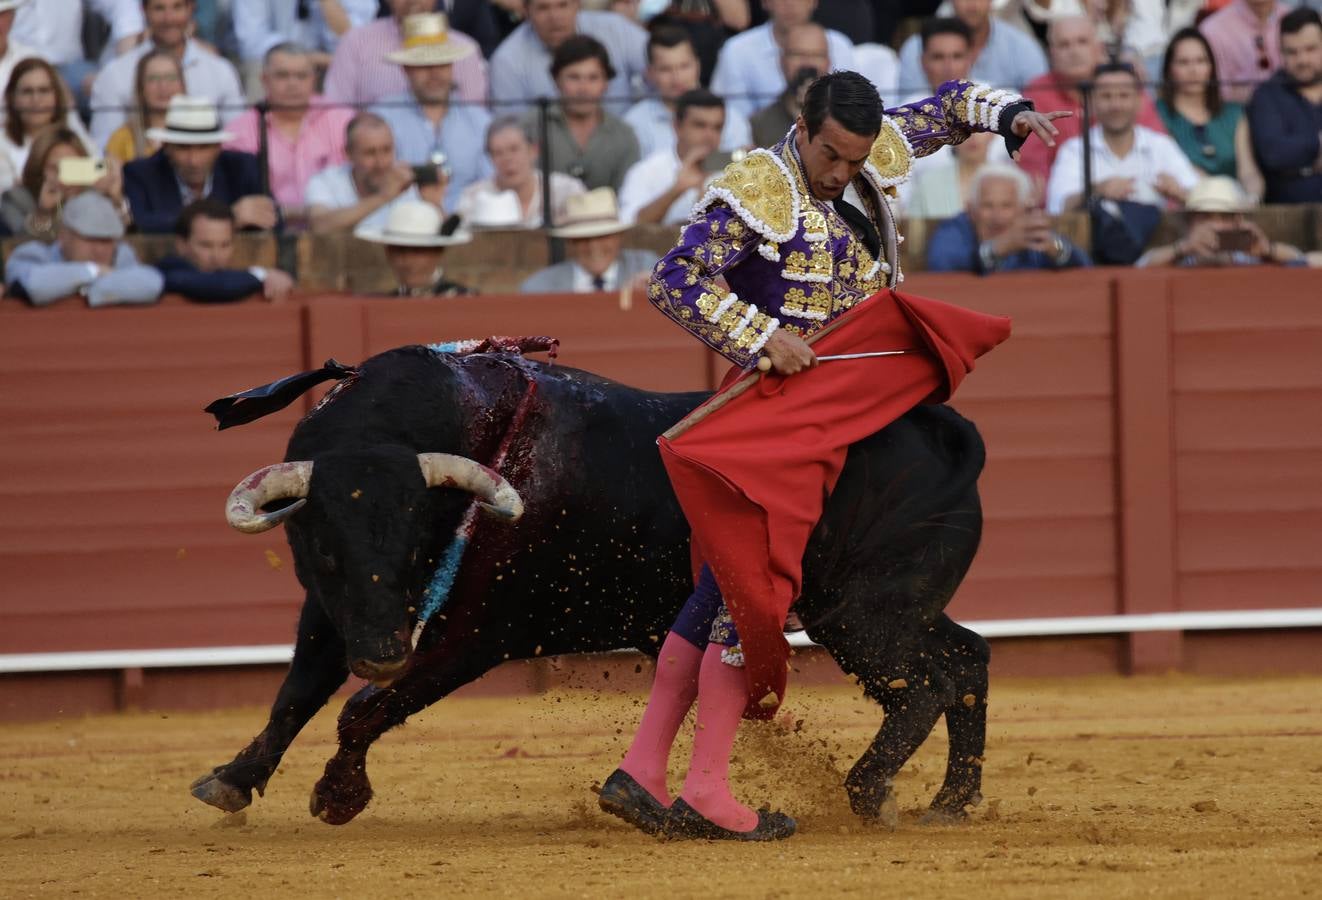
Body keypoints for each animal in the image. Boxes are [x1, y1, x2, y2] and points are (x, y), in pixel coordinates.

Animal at [189, 343, 994, 829]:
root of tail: (945, 429)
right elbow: (296, 694)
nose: (383, 653)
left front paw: (337, 794)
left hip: (860, 614)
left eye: (420, 536)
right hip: (896, 607)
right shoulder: (332, 612)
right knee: (966, 661)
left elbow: (362, 710)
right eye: (325, 550)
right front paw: (234, 777)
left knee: (927, 683)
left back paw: (869, 790)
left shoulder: (477, 635)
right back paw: (951, 802)